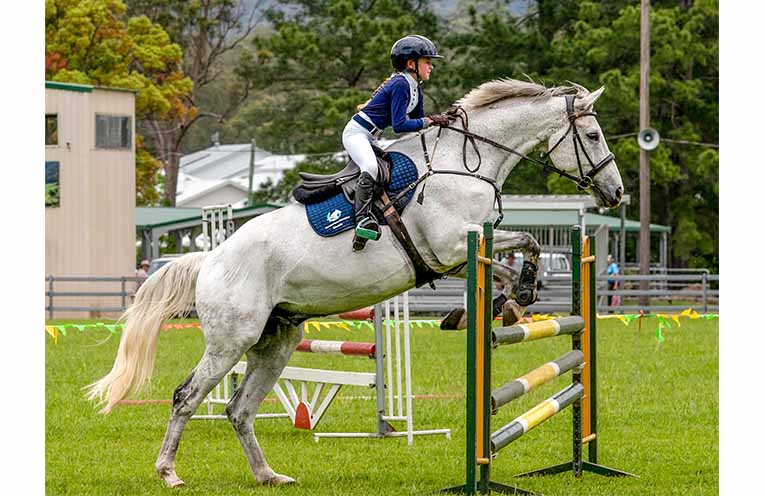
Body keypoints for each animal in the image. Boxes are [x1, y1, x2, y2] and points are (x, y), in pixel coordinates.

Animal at [86, 78, 623, 487]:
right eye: (593, 134)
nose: (617, 193)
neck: (464, 164)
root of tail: (211, 258)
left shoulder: (461, 252)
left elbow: (526, 245)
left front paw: (502, 304)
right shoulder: (452, 249)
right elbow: (517, 255)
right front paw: (511, 301)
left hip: (276, 341)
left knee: (239, 409)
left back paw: (269, 476)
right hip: (230, 341)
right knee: (187, 397)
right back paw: (169, 473)